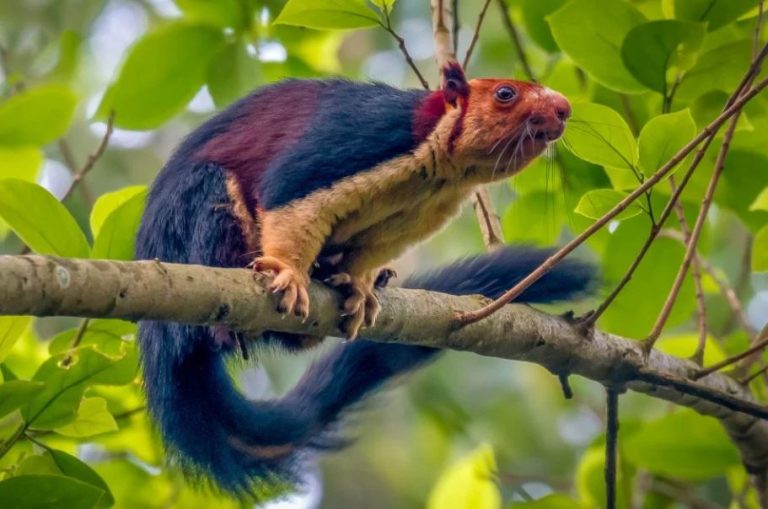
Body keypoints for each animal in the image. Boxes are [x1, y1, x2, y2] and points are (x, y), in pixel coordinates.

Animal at [135, 63, 593, 499]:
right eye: (505, 93)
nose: (564, 109)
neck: (443, 170)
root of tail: (158, 341)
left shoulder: (419, 214)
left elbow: (370, 250)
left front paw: (358, 286)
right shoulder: (363, 137)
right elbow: (289, 193)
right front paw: (288, 272)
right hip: (194, 220)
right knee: (210, 195)